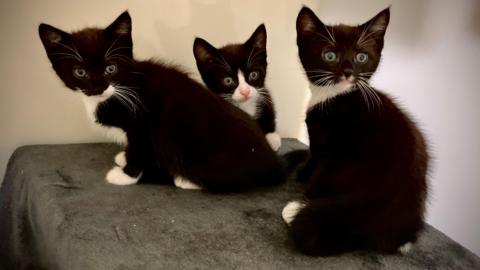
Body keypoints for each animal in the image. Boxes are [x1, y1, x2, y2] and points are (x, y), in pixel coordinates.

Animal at [193, 24, 284, 152]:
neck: (245, 107)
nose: (245, 91)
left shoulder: (264, 93)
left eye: (253, 74)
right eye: (228, 80)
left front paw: (271, 136)